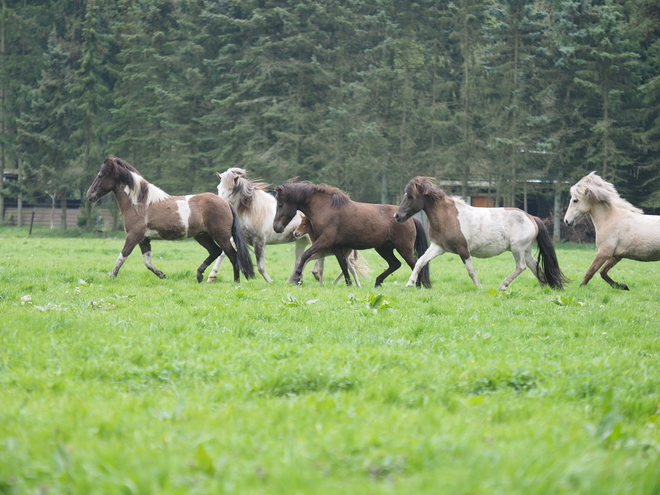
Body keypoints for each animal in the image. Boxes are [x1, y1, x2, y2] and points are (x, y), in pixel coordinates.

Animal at [85, 157, 255, 284]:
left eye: (100, 175)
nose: (89, 195)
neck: (140, 203)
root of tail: (225, 203)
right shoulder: (144, 239)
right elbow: (147, 262)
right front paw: (162, 275)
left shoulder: (133, 236)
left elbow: (122, 256)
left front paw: (112, 276)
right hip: (202, 236)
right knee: (215, 251)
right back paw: (199, 275)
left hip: (221, 235)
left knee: (232, 254)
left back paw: (236, 281)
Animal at [270, 179, 430, 288]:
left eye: (280, 205)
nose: (276, 227)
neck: (326, 208)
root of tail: (410, 219)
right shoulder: (335, 246)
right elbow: (343, 264)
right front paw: (349, 284)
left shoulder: (325, 241)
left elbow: (305, 255)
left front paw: (297, 278)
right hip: (384, 248)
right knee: (395, 264)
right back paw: (378, 282)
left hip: (403, 248)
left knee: (415, 263)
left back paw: (417, 286)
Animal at [392, 176, 568, 290]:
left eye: (410, 196)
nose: (397, 216)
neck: (447, 216)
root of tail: (531, 217)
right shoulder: (438, 247)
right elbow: (420, 261)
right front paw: (409, 283)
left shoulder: (463, 250)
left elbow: (471, 270)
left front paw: (480, 287)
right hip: (526, 250)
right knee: (535, 266)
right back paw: (544, 288)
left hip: (517, 249)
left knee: (521, 267)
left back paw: (503, 286)